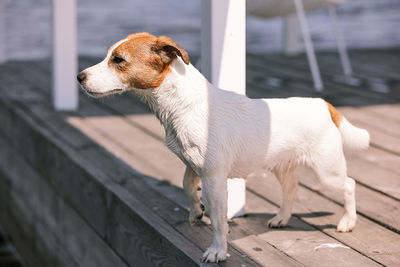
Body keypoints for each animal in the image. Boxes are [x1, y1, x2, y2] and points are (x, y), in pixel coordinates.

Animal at [76, 32, 370, 262]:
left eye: (118, 60)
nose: (79, 76)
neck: (184, 105)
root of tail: (323, 104)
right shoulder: (194, 165)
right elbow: (186, 185)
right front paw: (196, 210)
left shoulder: (215, 179)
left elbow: (219, 221)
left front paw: (217, 251)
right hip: (280, 165)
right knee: (291, 188)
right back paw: (281, 218)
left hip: (327, 170)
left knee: (349, 185)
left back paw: (348, 221)